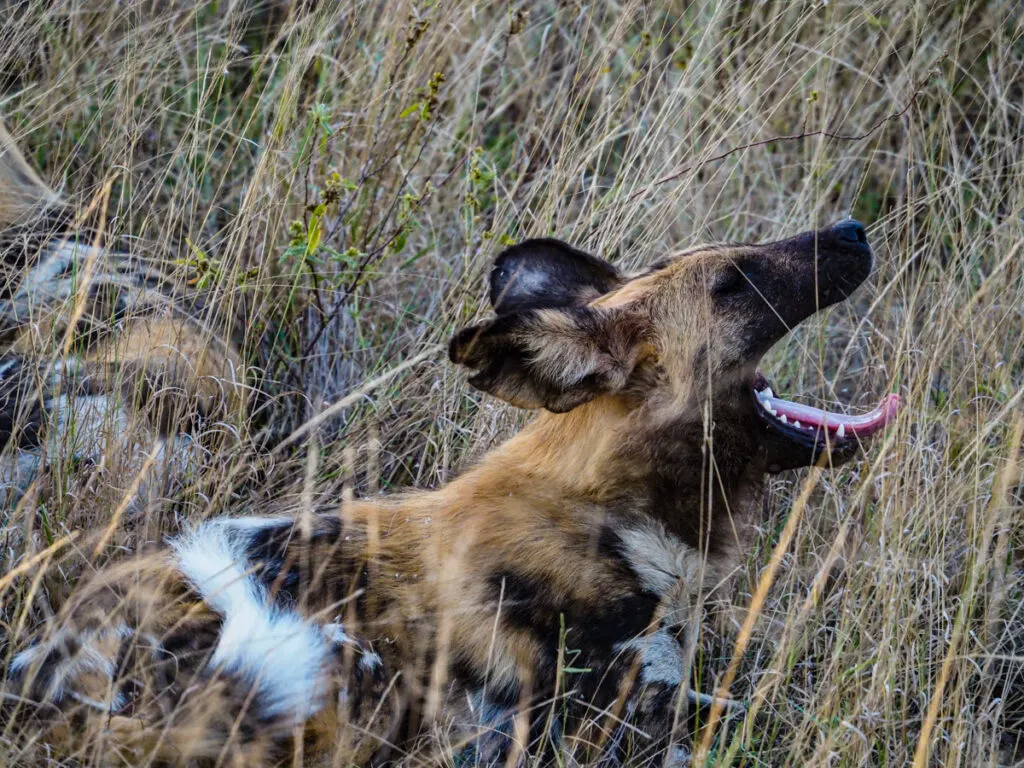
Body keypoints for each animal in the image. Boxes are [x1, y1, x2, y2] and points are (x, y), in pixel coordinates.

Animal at [8, 218, 901, 765]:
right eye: (734, 281)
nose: (853, 230)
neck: (613, 514)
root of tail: (48, 680)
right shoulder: (611, 723)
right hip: (349, 670)